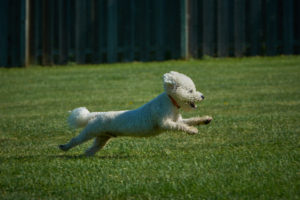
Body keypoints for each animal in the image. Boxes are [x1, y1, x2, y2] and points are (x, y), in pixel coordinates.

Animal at [58, 70, 212, 156]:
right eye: (190, 90)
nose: (203, 96)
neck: (170, 101)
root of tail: (97, 114)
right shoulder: (165, 123)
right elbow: (180, 126)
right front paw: (192, 130)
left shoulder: (177, 119)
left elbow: (190, 120)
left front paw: (205, 119)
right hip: (90, 131)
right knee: (76, 140)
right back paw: (64, 147)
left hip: (102, 137)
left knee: (93, 148)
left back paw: (85, 156)